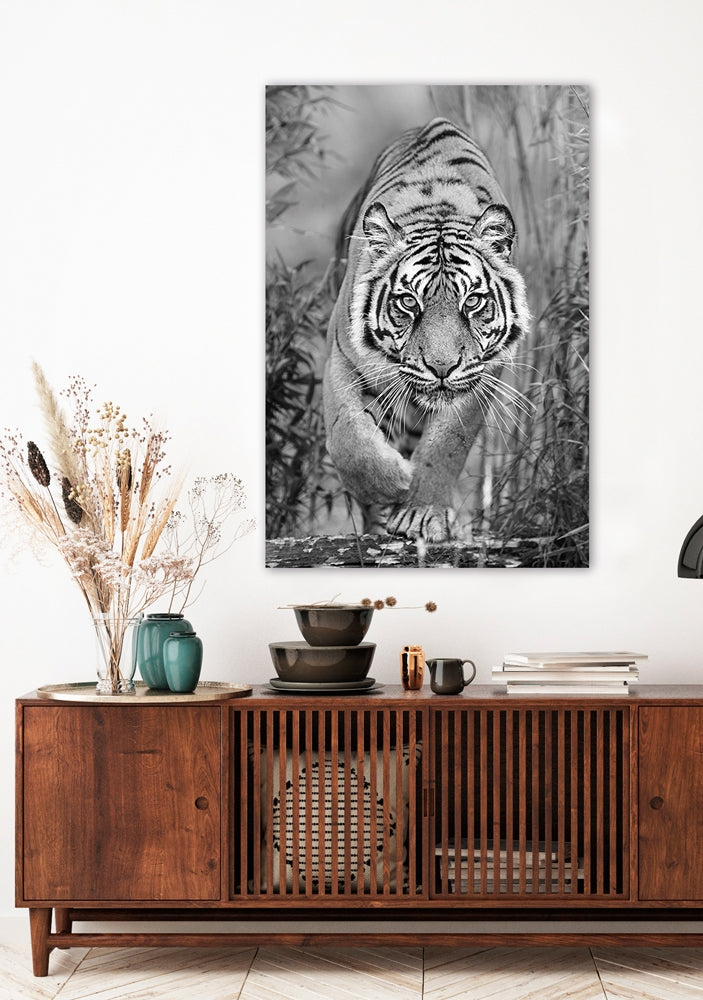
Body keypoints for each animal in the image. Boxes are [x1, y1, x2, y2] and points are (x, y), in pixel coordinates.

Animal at [323, 117, 531, 542]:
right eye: (408, 302)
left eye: (472, 301)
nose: (441, 368)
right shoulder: (342, 359)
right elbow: (348, 436)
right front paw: (391, 484)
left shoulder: (483, 374)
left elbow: (447, 444)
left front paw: (421, 513)